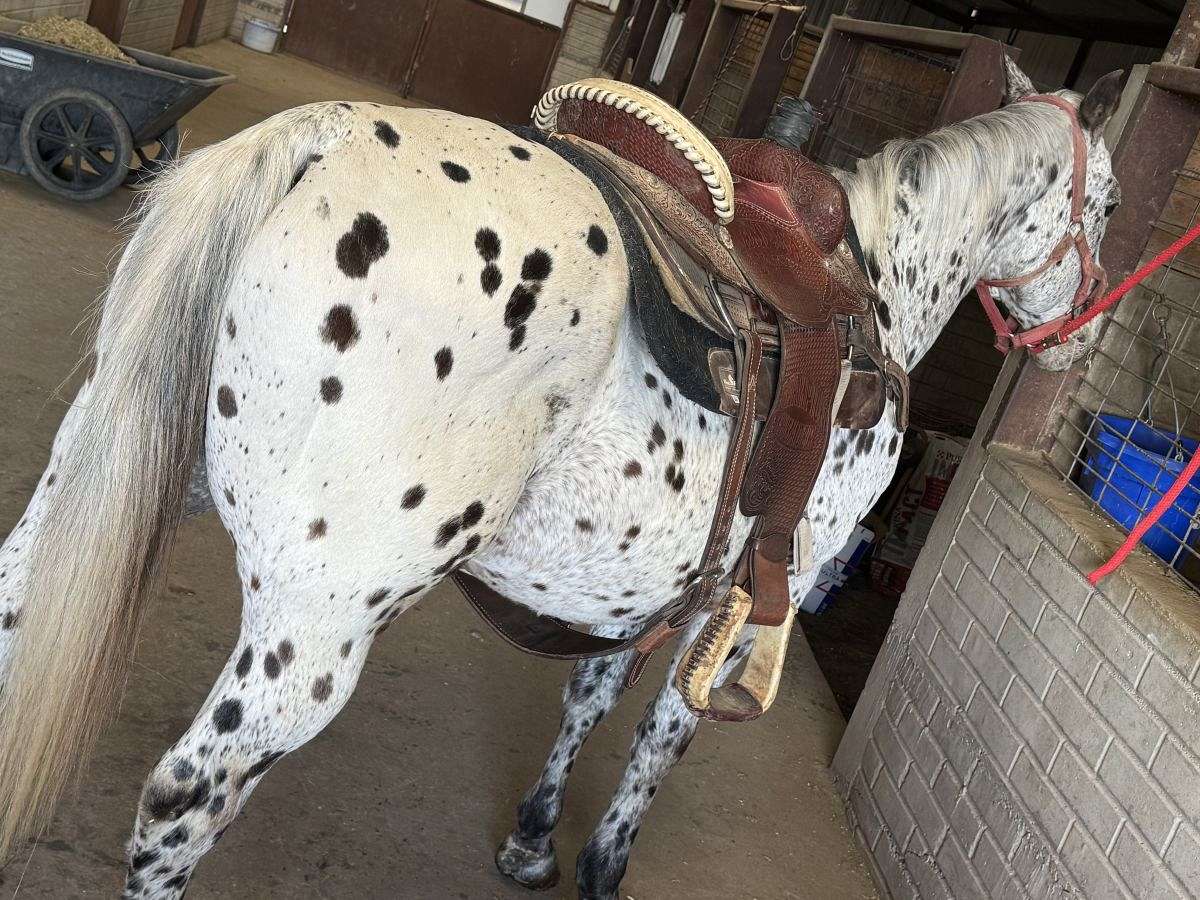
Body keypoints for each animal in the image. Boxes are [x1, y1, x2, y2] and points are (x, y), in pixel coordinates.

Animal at [0, 58, 1123, 899]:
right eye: (1108, 201)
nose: (1084, 334)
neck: (875, 292)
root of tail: (322, 137)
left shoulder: (650, 583)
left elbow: (593, 691)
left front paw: (533, 839)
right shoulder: (765, 588)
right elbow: (662, 735)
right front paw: (600, 867)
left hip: (81, 496)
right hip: (316, 626)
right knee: (184, 799)